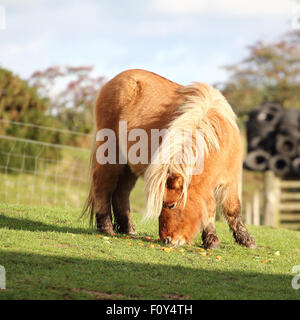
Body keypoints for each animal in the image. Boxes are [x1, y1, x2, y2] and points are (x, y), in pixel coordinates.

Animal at [82, 69, 255, 250]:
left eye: (171, 205)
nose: (166, 240)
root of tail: (113, 81)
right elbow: (210, 208)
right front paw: (212, 239)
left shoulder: (230, 181)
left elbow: (232, 209)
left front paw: (245, 240)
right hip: (110, 156)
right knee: (102, 186)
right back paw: (106, 227)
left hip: (128, 166)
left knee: (121, 193)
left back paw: (128, 229)